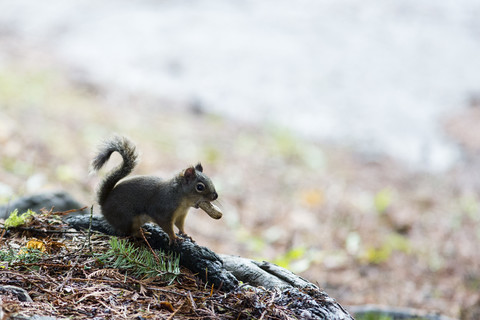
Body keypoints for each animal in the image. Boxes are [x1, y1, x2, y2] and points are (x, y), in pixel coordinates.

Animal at [91, 136, 222, 244]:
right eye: (200, 187)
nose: (215, 196)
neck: (182, 200)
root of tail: (104, 205)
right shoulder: (163, 210)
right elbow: (166, 225)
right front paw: (174, 237)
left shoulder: (181, 214)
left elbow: (180, 225)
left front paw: (185, 234)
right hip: (127, 217)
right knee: (129, 231)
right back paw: (140, 233)